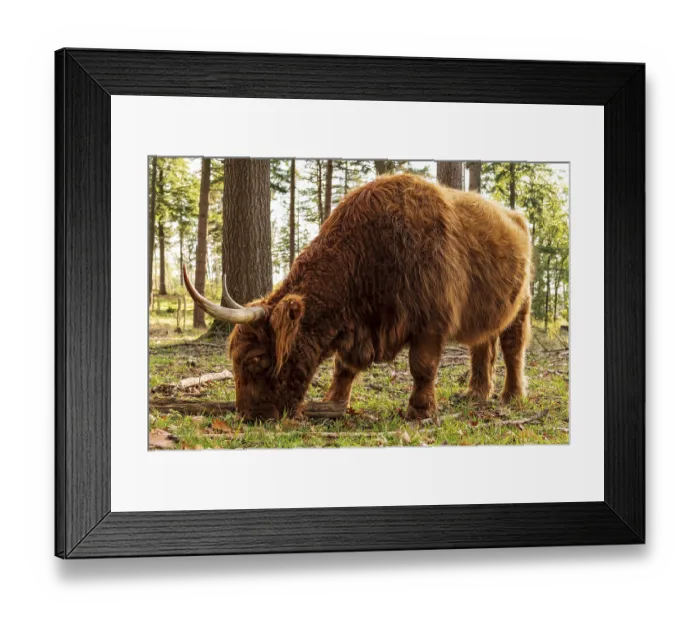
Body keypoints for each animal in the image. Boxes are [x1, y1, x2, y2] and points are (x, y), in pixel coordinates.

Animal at [183, 173, 532, 421]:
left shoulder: (430, 323)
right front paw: (334, 402)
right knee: (482, 345)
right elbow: (343, 367)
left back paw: (512, 396)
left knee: (512, 347)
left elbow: (422, 366)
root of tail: (515, 216)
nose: (248, 415)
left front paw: (419, 411)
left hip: (522, 303)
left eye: (255, 359)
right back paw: (476, 393)